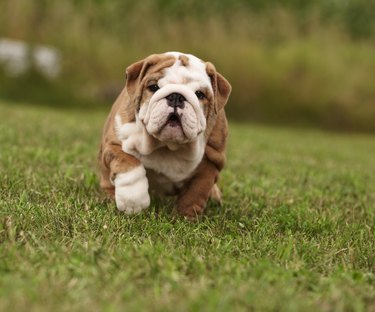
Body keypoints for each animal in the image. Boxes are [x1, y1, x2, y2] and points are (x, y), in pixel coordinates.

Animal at [98, 51, 231, 217]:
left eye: (200, 94)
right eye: (153, 87)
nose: (176, 96)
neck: (167, 146)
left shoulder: (212, 159)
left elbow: (196, 190)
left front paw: (184, 216)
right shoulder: (114, 144)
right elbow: (128, 162)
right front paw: (133, 201)